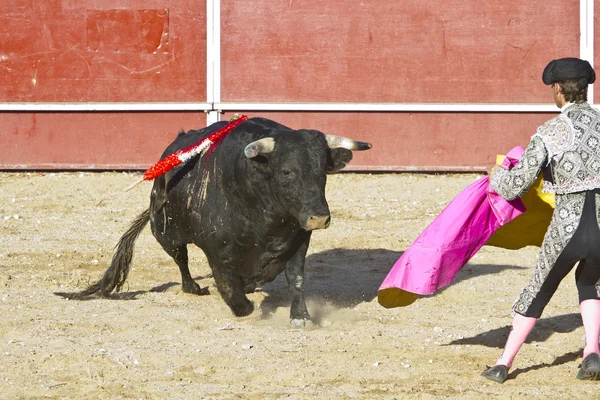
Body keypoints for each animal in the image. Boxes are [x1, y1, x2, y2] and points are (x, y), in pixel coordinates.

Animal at [70, 117, 370, 326]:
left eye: (323, 172)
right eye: (286, 171)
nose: (318, 218)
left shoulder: (298, 240)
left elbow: (295, 277)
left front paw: (302, 317)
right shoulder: (217, 251)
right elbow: (229, 286)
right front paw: (243, 307)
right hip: (165, 232)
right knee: (182, 259)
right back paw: (193, 287)